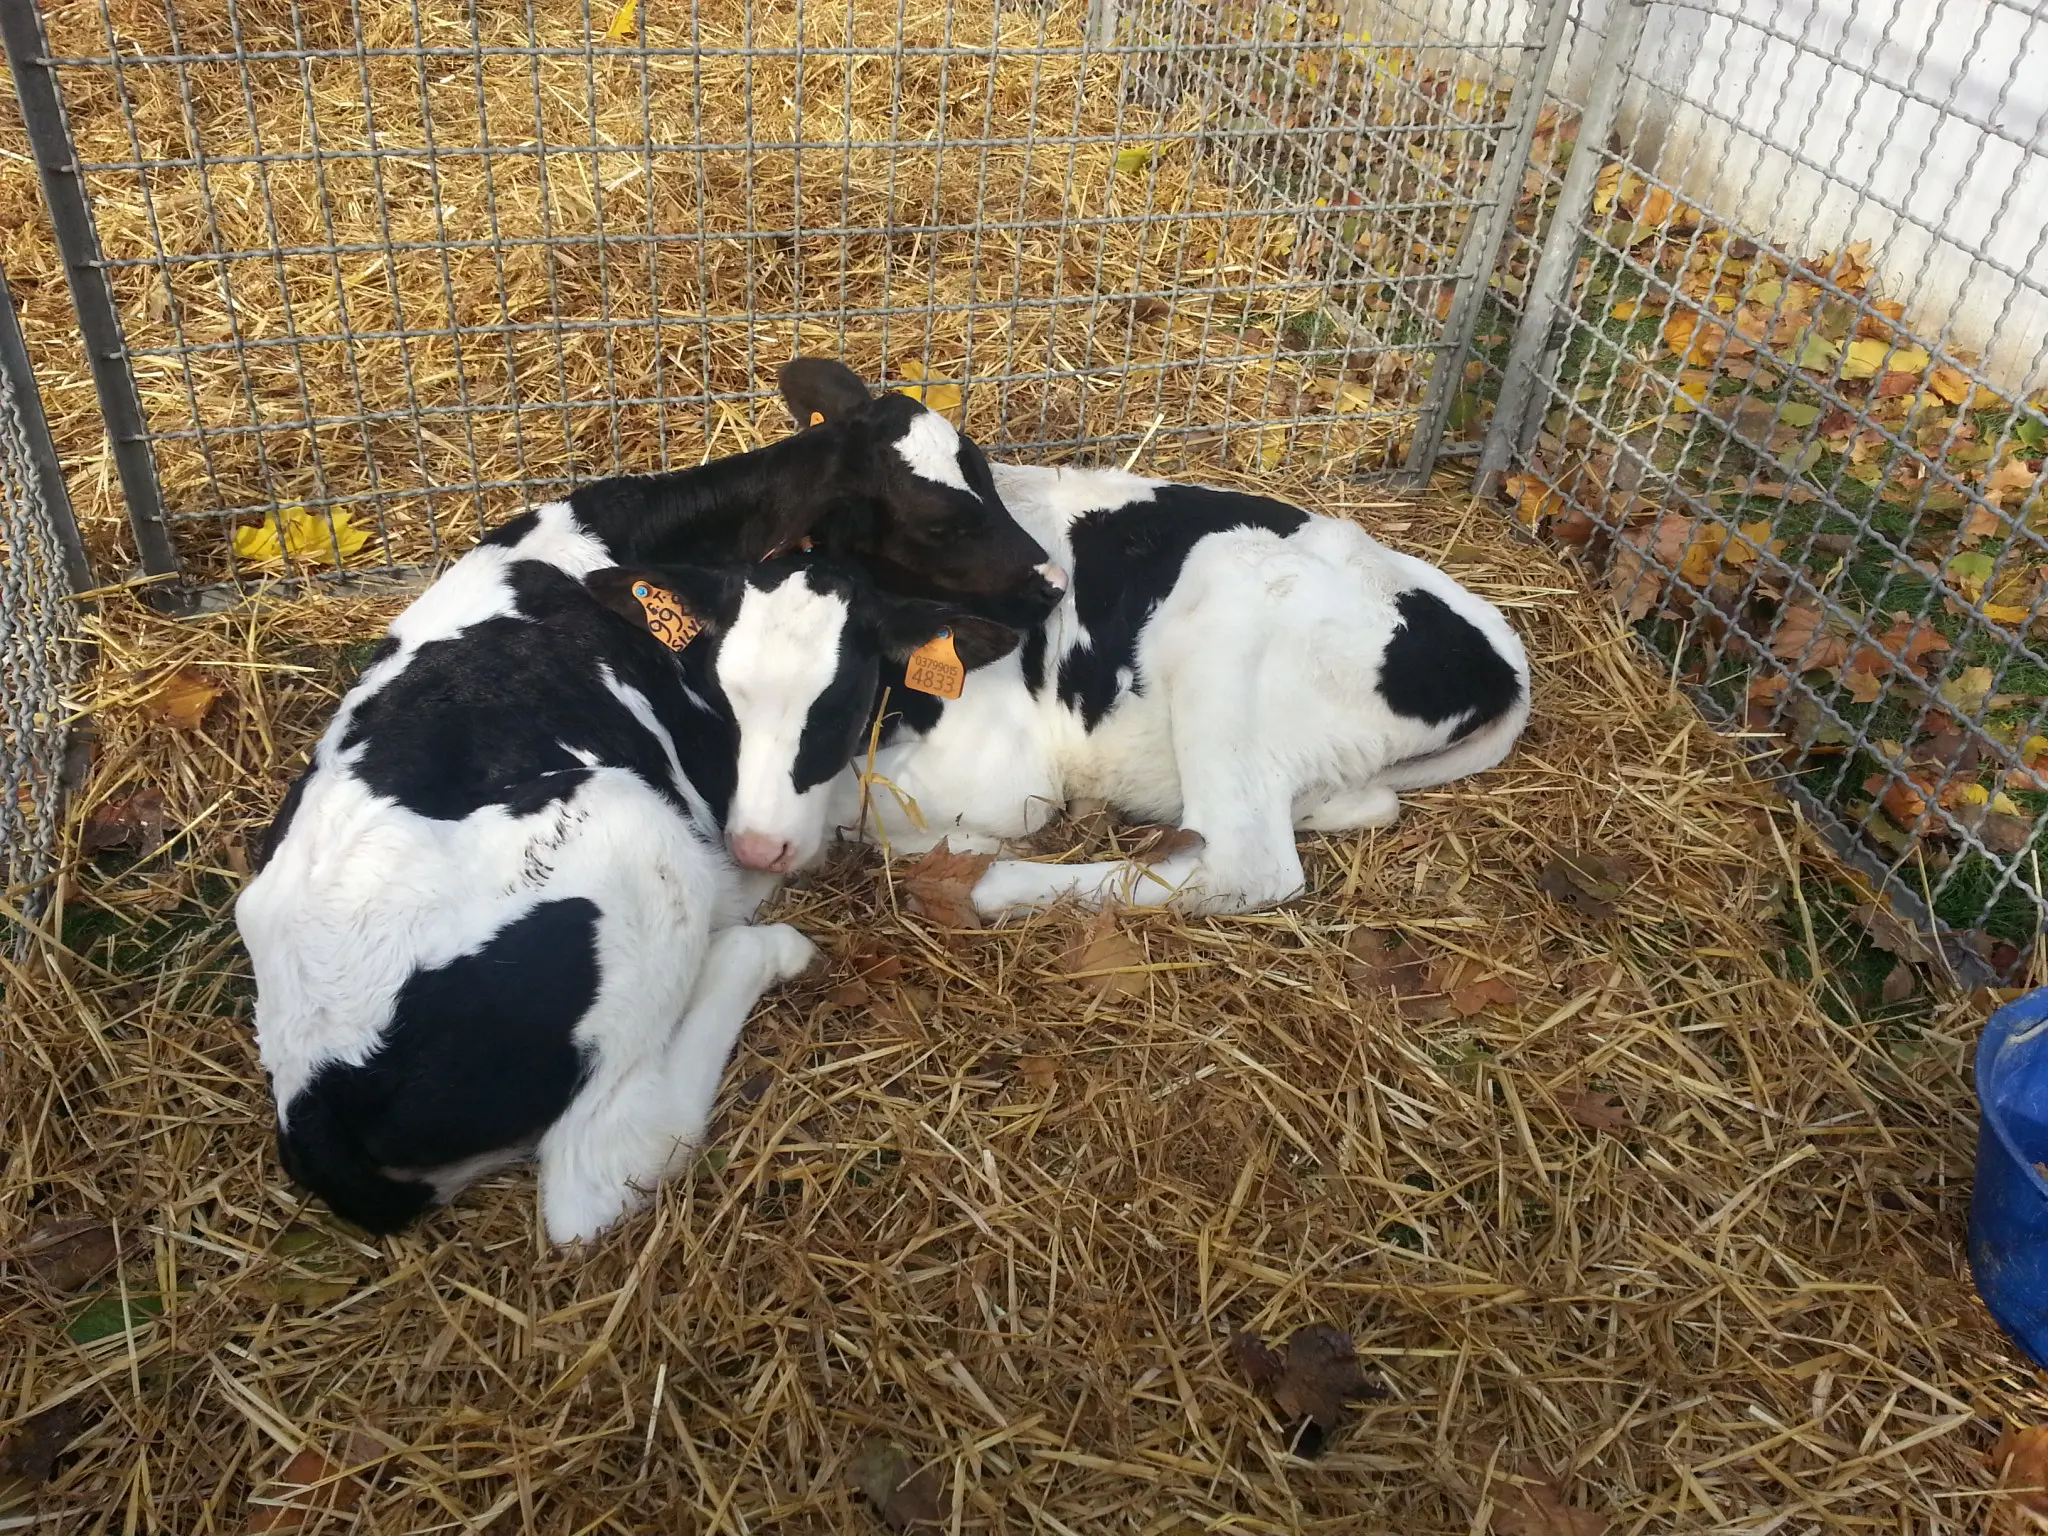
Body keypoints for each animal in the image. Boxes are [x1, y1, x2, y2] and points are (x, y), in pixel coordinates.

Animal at [237, 364, 1064, 1253]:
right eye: (942, 522)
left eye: (983, 472)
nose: (1051, 584)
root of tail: (317, 1103)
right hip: (630, 837)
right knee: (599, 1169)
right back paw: (758, 948)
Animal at [823, 462, 1531, 921]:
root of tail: (1502, 663)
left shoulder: (1001, 770)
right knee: (1359, 803)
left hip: (1229, 615)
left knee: (1243, 866)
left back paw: (985, 884)